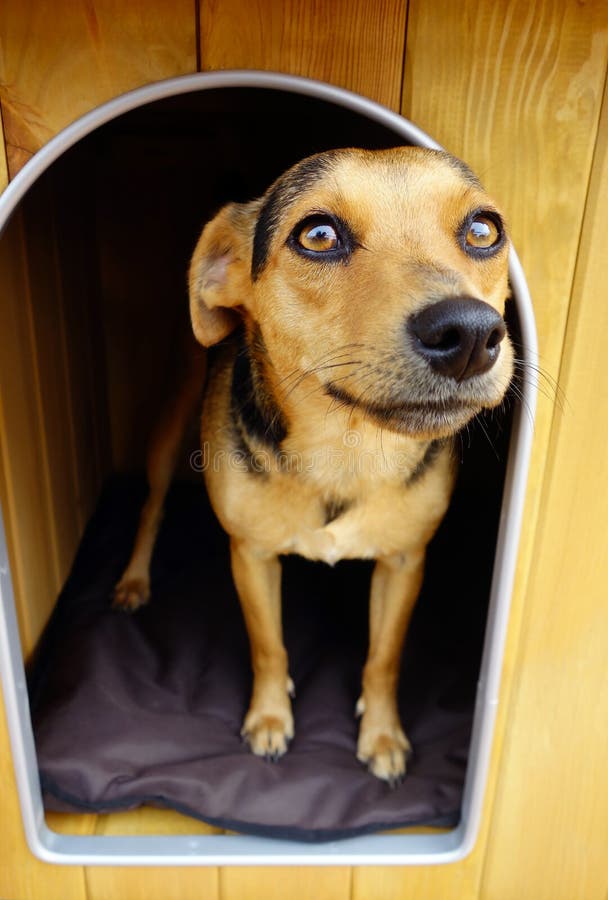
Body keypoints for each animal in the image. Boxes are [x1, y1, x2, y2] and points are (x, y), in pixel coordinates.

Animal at [113, 146, 512, 780]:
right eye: (318, 235)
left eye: (484, 230)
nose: (471, 333)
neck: (346, 448)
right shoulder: (251, 555)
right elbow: (268, 647)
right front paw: (270, 719)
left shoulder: (403, 562)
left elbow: (384, 659)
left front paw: (382, 735)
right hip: (172, 418)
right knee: (152, 506)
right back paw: (133, 580)